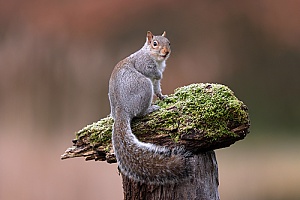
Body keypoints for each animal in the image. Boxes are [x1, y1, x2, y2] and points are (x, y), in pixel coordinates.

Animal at [109, 30, 191, 184]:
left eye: (169, 42)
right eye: (155, 43)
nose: (166, 52)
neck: (155, 58)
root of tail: (121, 109)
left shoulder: (156, 82)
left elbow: (158, 88)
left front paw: (163, 97)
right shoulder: (143, 63)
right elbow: (152, 72)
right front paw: (159, 75)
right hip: (144, 86)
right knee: (140, 113)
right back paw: (151, 109)